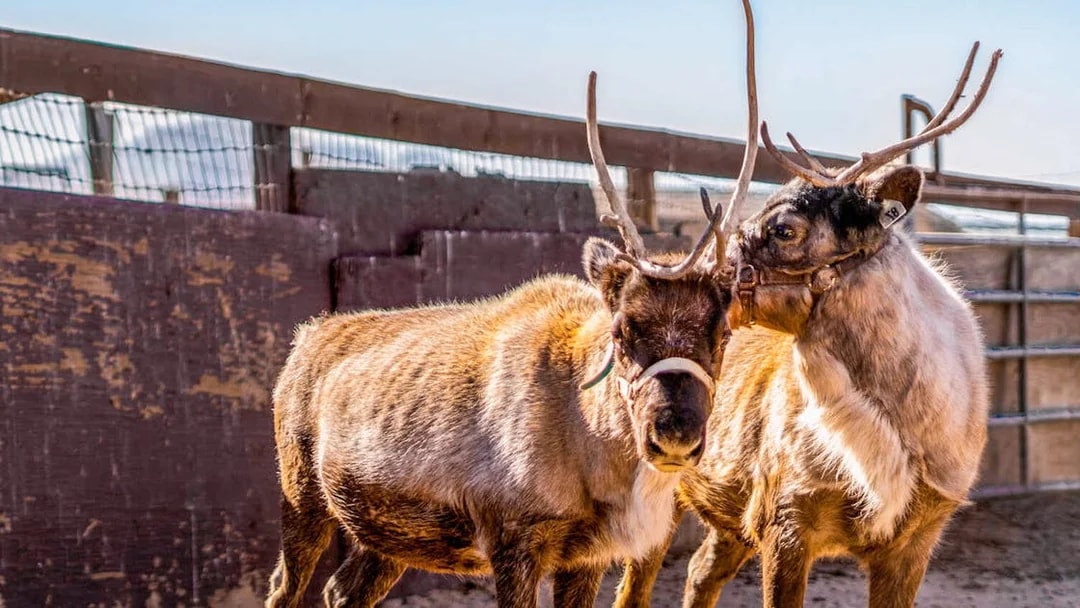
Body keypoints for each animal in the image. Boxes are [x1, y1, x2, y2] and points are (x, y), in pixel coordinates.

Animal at [263, 3, 760, 605]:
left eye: (723, 332)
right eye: (621, 330)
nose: (675, 437)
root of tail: (306, 337)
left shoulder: (589, 555)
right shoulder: (516, 538)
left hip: (387, 535)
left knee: (341, 589)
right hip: (301, 495)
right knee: (284, 587)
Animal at [611, 41, 1002, 608]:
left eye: (783, 228)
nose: (677, 282)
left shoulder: (917, 538)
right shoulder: (785, 523)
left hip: (727, 516)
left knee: (699, 571)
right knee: (634, 586)